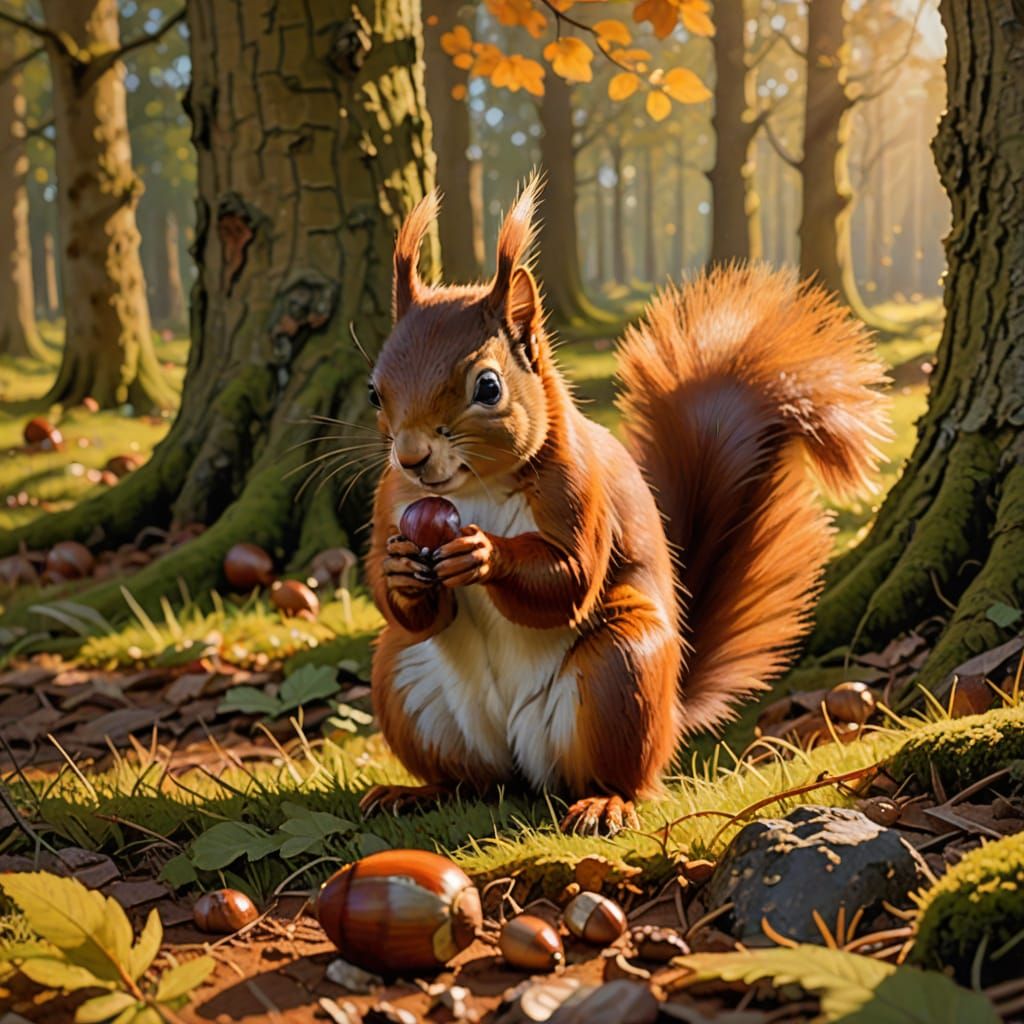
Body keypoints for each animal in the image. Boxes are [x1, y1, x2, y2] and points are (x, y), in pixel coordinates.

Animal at [359, 176, 889, 835]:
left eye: (488, 386)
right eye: (374, 391)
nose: (410, 455)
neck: (472, 488)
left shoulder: (580, 489)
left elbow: (570, 577)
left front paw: (484, 554)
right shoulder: (391, 501)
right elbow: (406, 606)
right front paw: (398, 570)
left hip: (621, 674)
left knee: (623, 776)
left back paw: (604, 802)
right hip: (405, 677)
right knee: (471, 778)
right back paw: (417, 791)